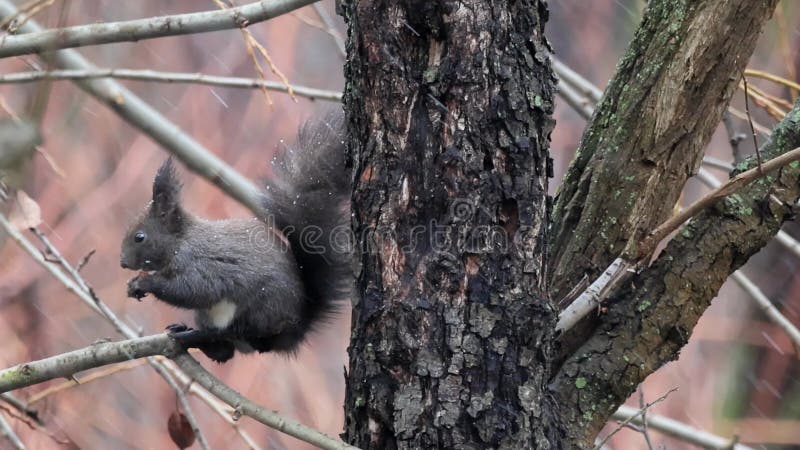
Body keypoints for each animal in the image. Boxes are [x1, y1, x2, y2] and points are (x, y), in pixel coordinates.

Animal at [119, 112, 350, 362]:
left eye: (140, 237)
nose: (122, 262)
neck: (181, 242)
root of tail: (296, 329)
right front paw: (133, 285)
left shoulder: (202, 265)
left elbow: (191, 290)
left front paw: (145, 282)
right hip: (209, 316)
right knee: (224, 352)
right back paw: (189, 334)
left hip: (260, 309)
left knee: (241, 333)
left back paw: (196, 335)